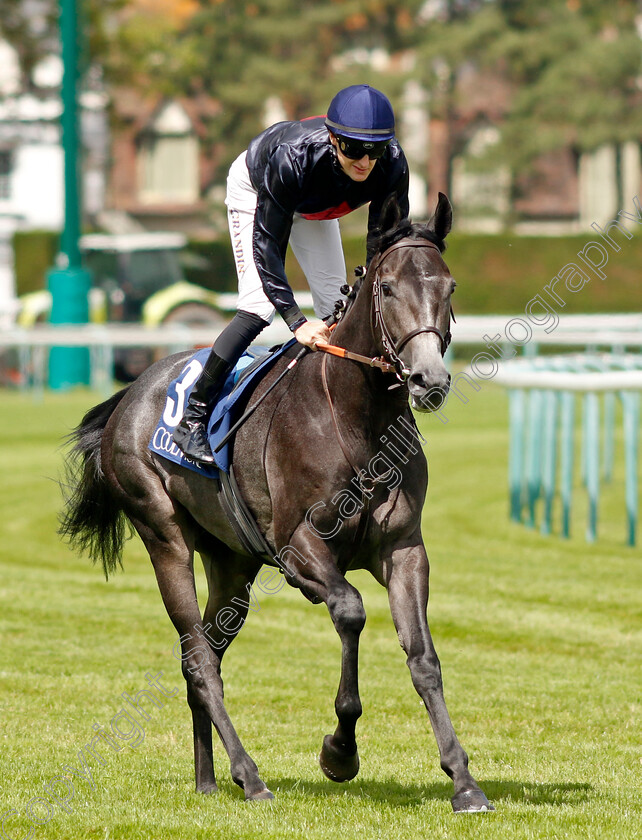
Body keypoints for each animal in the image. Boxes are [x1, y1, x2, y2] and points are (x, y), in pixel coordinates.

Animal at [58, 194, 490, 812]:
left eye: (449, 286)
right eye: (386, 289)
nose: (428, 381)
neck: (357, 419)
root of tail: (128, 396)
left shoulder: (404, 548)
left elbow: (423, 657)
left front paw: (463, 780)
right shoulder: (298, 548)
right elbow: (351, 611)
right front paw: (339, 751)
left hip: (232, 563)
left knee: (205, 656)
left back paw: (209, 778)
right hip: (164, 537)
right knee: (198, 658)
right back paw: (250, 775)